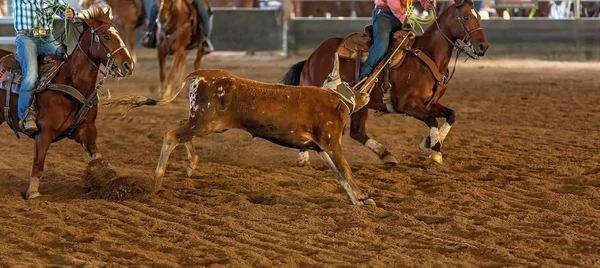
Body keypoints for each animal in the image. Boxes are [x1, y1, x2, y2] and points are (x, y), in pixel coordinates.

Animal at [0, 6, 134, 199]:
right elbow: (38, 163)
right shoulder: (44, 133)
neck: (70, 82)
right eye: (106, 36)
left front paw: (115, 183)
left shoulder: (86, 129)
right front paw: (32, 192)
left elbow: (100, 158)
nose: (128, 65)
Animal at [282, 0, 488, 165]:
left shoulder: (430, 103)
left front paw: (430, 143)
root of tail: (311, 58)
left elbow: (451, 115)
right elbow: (432, 120)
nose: (483, 47)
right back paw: (303, 157)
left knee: (358, 133)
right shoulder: (408, 104)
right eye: (465, 17)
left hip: (361, 107)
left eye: (478, 17)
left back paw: (386, 155)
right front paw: (435, 151)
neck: (426, 56)